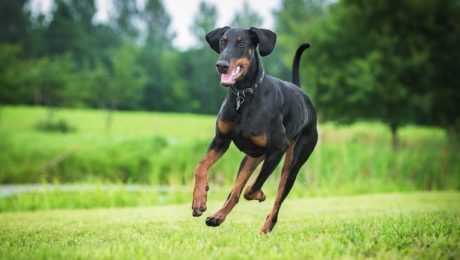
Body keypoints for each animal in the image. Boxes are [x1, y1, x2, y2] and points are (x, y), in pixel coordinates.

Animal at [192, 26, 318, 234]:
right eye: (223, 41)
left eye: (242, 43)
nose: (221, 65)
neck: (244, 96)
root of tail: (303, 95)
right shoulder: (220, 140)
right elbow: (201, 167)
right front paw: (199, 200)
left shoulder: (278, 149)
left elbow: (251, 190)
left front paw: (260, 195)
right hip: (251, 158)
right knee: (235, 191)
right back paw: (217, 217)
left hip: (293, 162)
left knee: (277, 199)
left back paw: (266, 227)